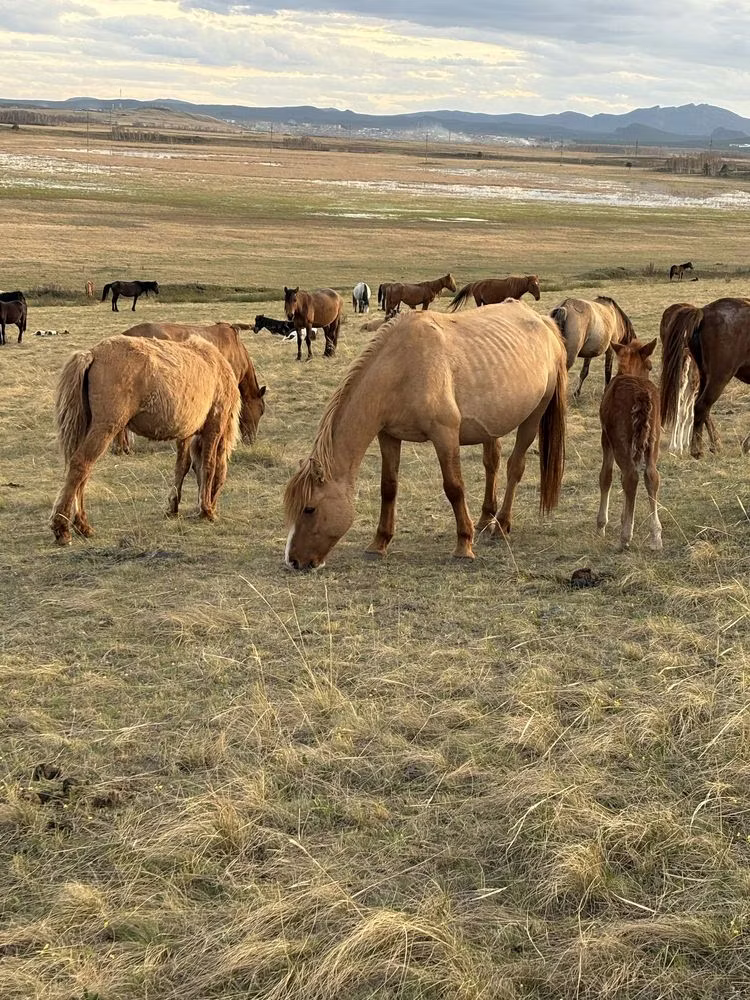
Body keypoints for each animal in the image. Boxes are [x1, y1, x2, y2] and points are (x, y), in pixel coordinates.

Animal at [50, 335, 240, 546]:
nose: (213, 505)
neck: (216, 366)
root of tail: (92, 354)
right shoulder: (214, 428)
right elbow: (209, 465)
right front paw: (207, 510)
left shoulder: (186, 434)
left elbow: (182, 466)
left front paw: (173, 506)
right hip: (105, 429)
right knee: (81, 465)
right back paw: (62, 528)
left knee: (82, 474)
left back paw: (82, 525)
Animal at [283, 300, 567, 570]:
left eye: (309, 509)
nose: (293, 561)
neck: (402, 368)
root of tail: (544, 323)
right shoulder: (388, 436)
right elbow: (389, 487)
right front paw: (379, 543)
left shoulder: (445, 435)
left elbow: (454, 488)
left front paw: (464, 545)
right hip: (492, 424)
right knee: (492, 464)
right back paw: (486, 519)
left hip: (533, 417)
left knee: (514, 468)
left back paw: (502, 525)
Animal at [597, 338, 662, 551]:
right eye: (649, 366)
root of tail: (641, 394)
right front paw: (623, 517)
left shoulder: (606, 439)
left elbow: (606, 476)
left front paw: (601, 525)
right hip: (653, 441)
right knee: (651, 476)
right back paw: (656, 537)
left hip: (621, 441)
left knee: (631, 476)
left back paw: (625, 537)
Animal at [660, 297, 750, 458]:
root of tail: (703, 312)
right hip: (718, 378)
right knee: (701, 406)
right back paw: (697, 450)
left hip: (703, 377)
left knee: (701, 409)